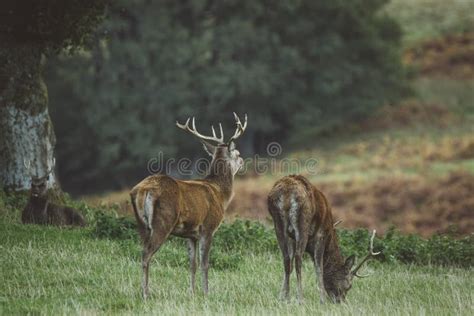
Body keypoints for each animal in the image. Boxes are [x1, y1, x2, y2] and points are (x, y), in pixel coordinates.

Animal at [131, 111, 248, 298]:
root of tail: (143, 190)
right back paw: (146, 293)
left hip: (141, 224)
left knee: (142, 251)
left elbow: (192, 265)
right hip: (163, 221)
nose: (243, 161)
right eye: (236, 153)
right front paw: (207, 293)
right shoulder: (208, 227)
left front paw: (192, 293)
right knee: (146, 254)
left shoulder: (191, 235)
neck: (220, 194)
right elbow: (205, 264)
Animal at [266, 175, 382, 304]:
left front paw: (282, 297)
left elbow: (289, 265)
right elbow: (319, 267)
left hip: (278, 224)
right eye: (349, 286)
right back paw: (301, 299)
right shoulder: (320, 235)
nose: (340, 301)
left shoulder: (292, 238)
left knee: (286, 259)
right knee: (298, 258)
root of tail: (287, 192)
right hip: (303, 222)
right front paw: (322, 300)